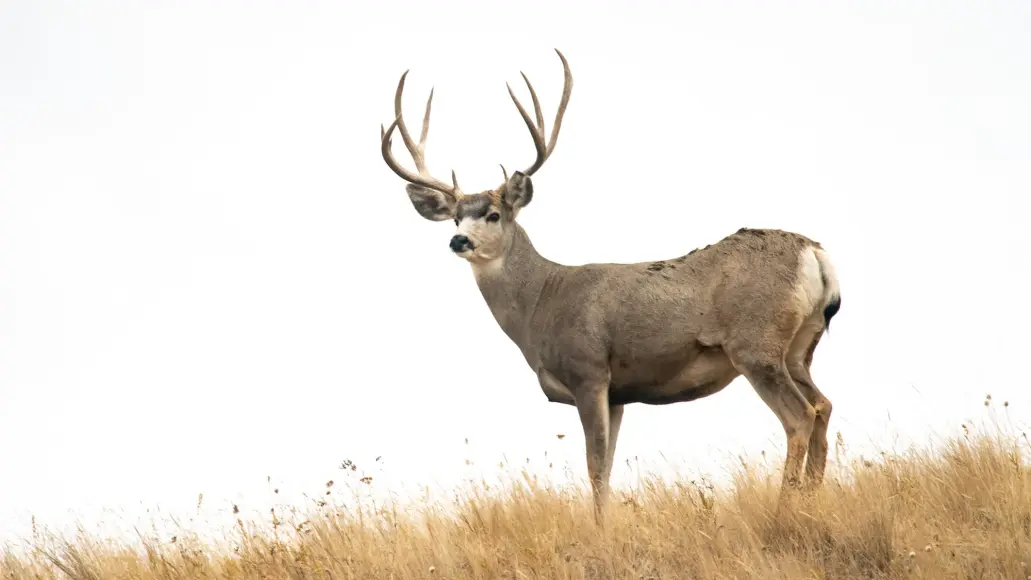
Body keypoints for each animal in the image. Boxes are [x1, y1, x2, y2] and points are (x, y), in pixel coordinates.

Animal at [375, 49, 841, 521]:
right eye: (455, 217)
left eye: (493, 214)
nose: (459, 240)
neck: (542, 302)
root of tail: (813, 252)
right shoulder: (619, 393)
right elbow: (609, 465)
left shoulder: (590, 372)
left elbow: (595, 465)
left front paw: (601, 529)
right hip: (799, 348)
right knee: (824, 405)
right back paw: (812, 500)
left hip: (755, 343)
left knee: (800, 415)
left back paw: (785, 510)